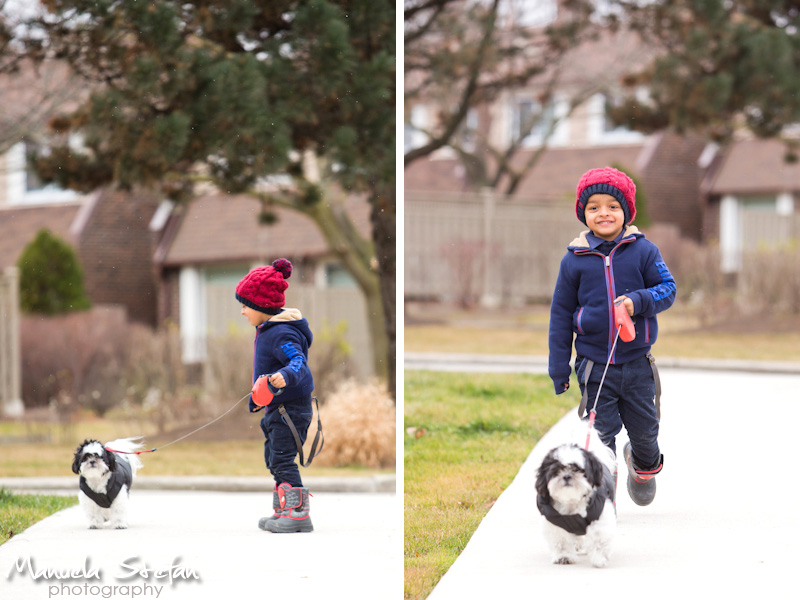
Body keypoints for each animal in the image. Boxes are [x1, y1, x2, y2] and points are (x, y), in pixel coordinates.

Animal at [536, 426, 620, 568]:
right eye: (556, 471)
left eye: (578, 469)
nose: (566, 476)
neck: (572, 501)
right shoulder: (557, 522)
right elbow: (562, 541)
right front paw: (564, 557)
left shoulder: (599, 516)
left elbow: (599, 538)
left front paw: (599, 558)